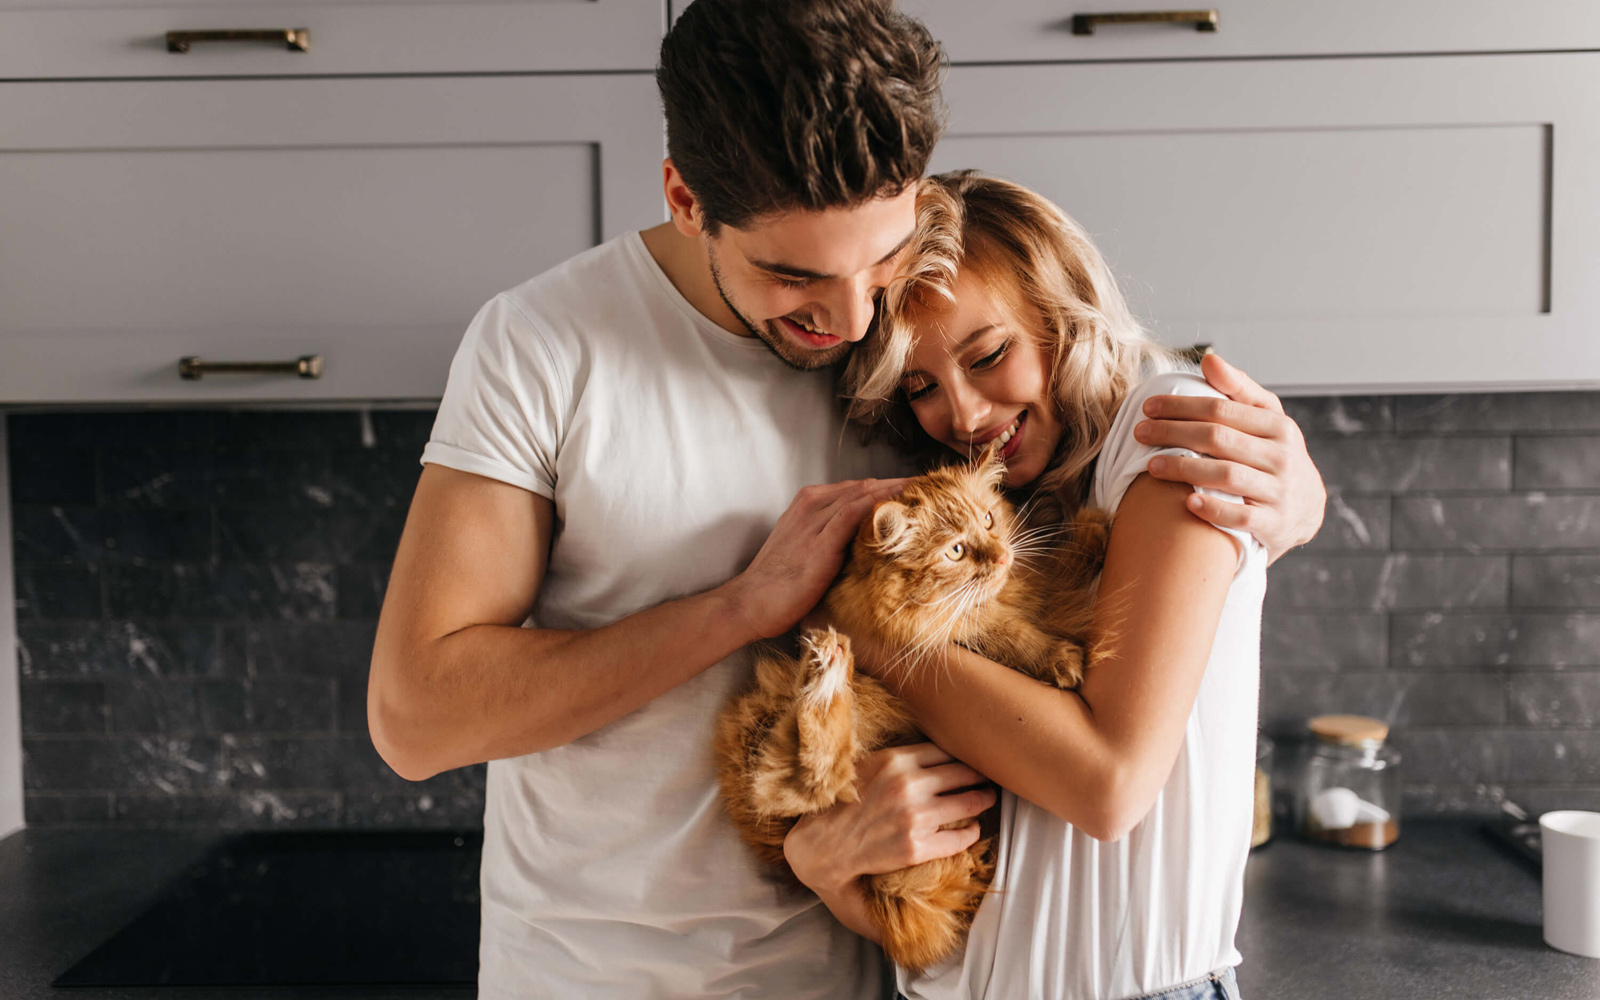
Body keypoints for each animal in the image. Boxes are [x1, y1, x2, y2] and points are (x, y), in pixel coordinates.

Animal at [716, 441, 1113, 966]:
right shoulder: (961, 632)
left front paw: (1093, 531)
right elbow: (1016, 636)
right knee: (806, 779)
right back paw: (827, 671)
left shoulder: (1032, 590)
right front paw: (1061, 659)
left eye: (989, 520)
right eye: (956, 550)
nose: (1000, 555)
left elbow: (1055, 574)